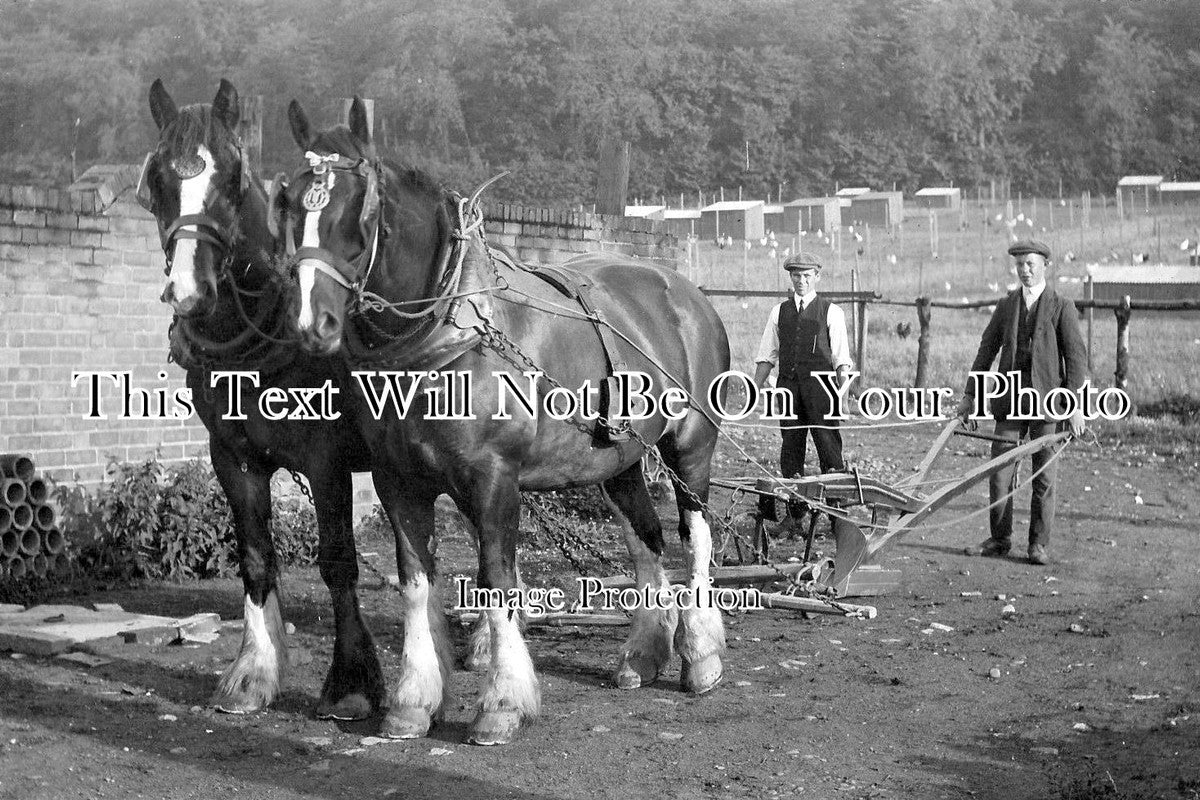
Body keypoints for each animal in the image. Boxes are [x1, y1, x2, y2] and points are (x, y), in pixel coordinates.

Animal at [143, 79, 391, 719]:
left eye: (232, 177)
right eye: (157, 178)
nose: (189, 291)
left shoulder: (326, 461)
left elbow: (337, 560)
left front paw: (352, 682)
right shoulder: (233, 455)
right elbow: (255, 555)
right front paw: (253, 671)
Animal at [272, 98, 729, 743]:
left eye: (358, 211)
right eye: (289, 204)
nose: (313, 323)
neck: (450, 329)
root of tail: (686, 292)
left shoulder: (494, 478)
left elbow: (497, 579)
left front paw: (502, 703)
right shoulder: (398, 479)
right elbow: (416, 580)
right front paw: (413, 700)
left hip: (691, 444)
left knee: (697, 536)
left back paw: (702, 655)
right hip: (618, 459)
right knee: (646, 537)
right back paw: (641, 655)